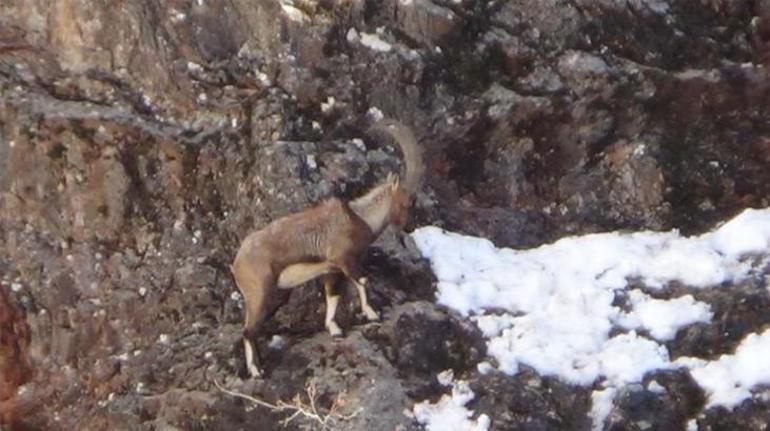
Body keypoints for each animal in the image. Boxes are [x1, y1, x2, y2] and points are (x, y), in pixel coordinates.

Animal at [231, 119, 424, 378]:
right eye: (406, 202)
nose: (408, 226)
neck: (360, 219)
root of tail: (237, 263)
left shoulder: (332, 270)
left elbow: (333, 295)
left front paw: (335, 330)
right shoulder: (345, 259)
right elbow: (363, 280)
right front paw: (372, 314)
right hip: (260, 293)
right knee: (247, 330)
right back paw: (256, 371)